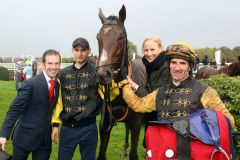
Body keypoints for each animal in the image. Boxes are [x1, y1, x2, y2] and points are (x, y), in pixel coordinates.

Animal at [95, 5, 146, 160]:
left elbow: (134, 154)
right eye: (98, 37)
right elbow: (101, 154)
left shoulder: (136, 124)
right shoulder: (105, 125)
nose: (103, 74)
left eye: (121, 37)